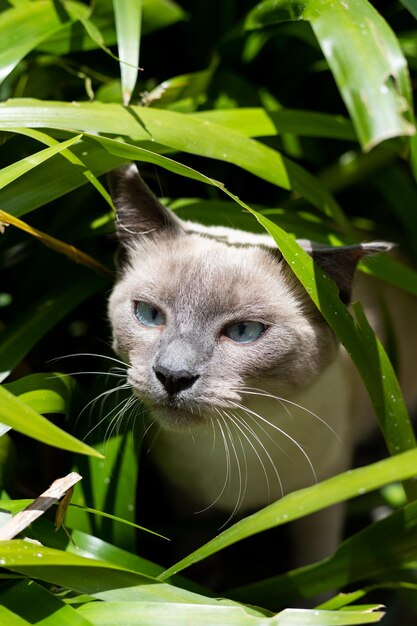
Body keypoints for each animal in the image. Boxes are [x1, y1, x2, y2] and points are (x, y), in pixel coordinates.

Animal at [105, 163, 416, 568]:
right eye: (149, 315)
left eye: (243, 332)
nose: (173, 376)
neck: (225, 453)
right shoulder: (185, 505)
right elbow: (193, 560)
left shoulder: (319, 496)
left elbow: (314, 570)